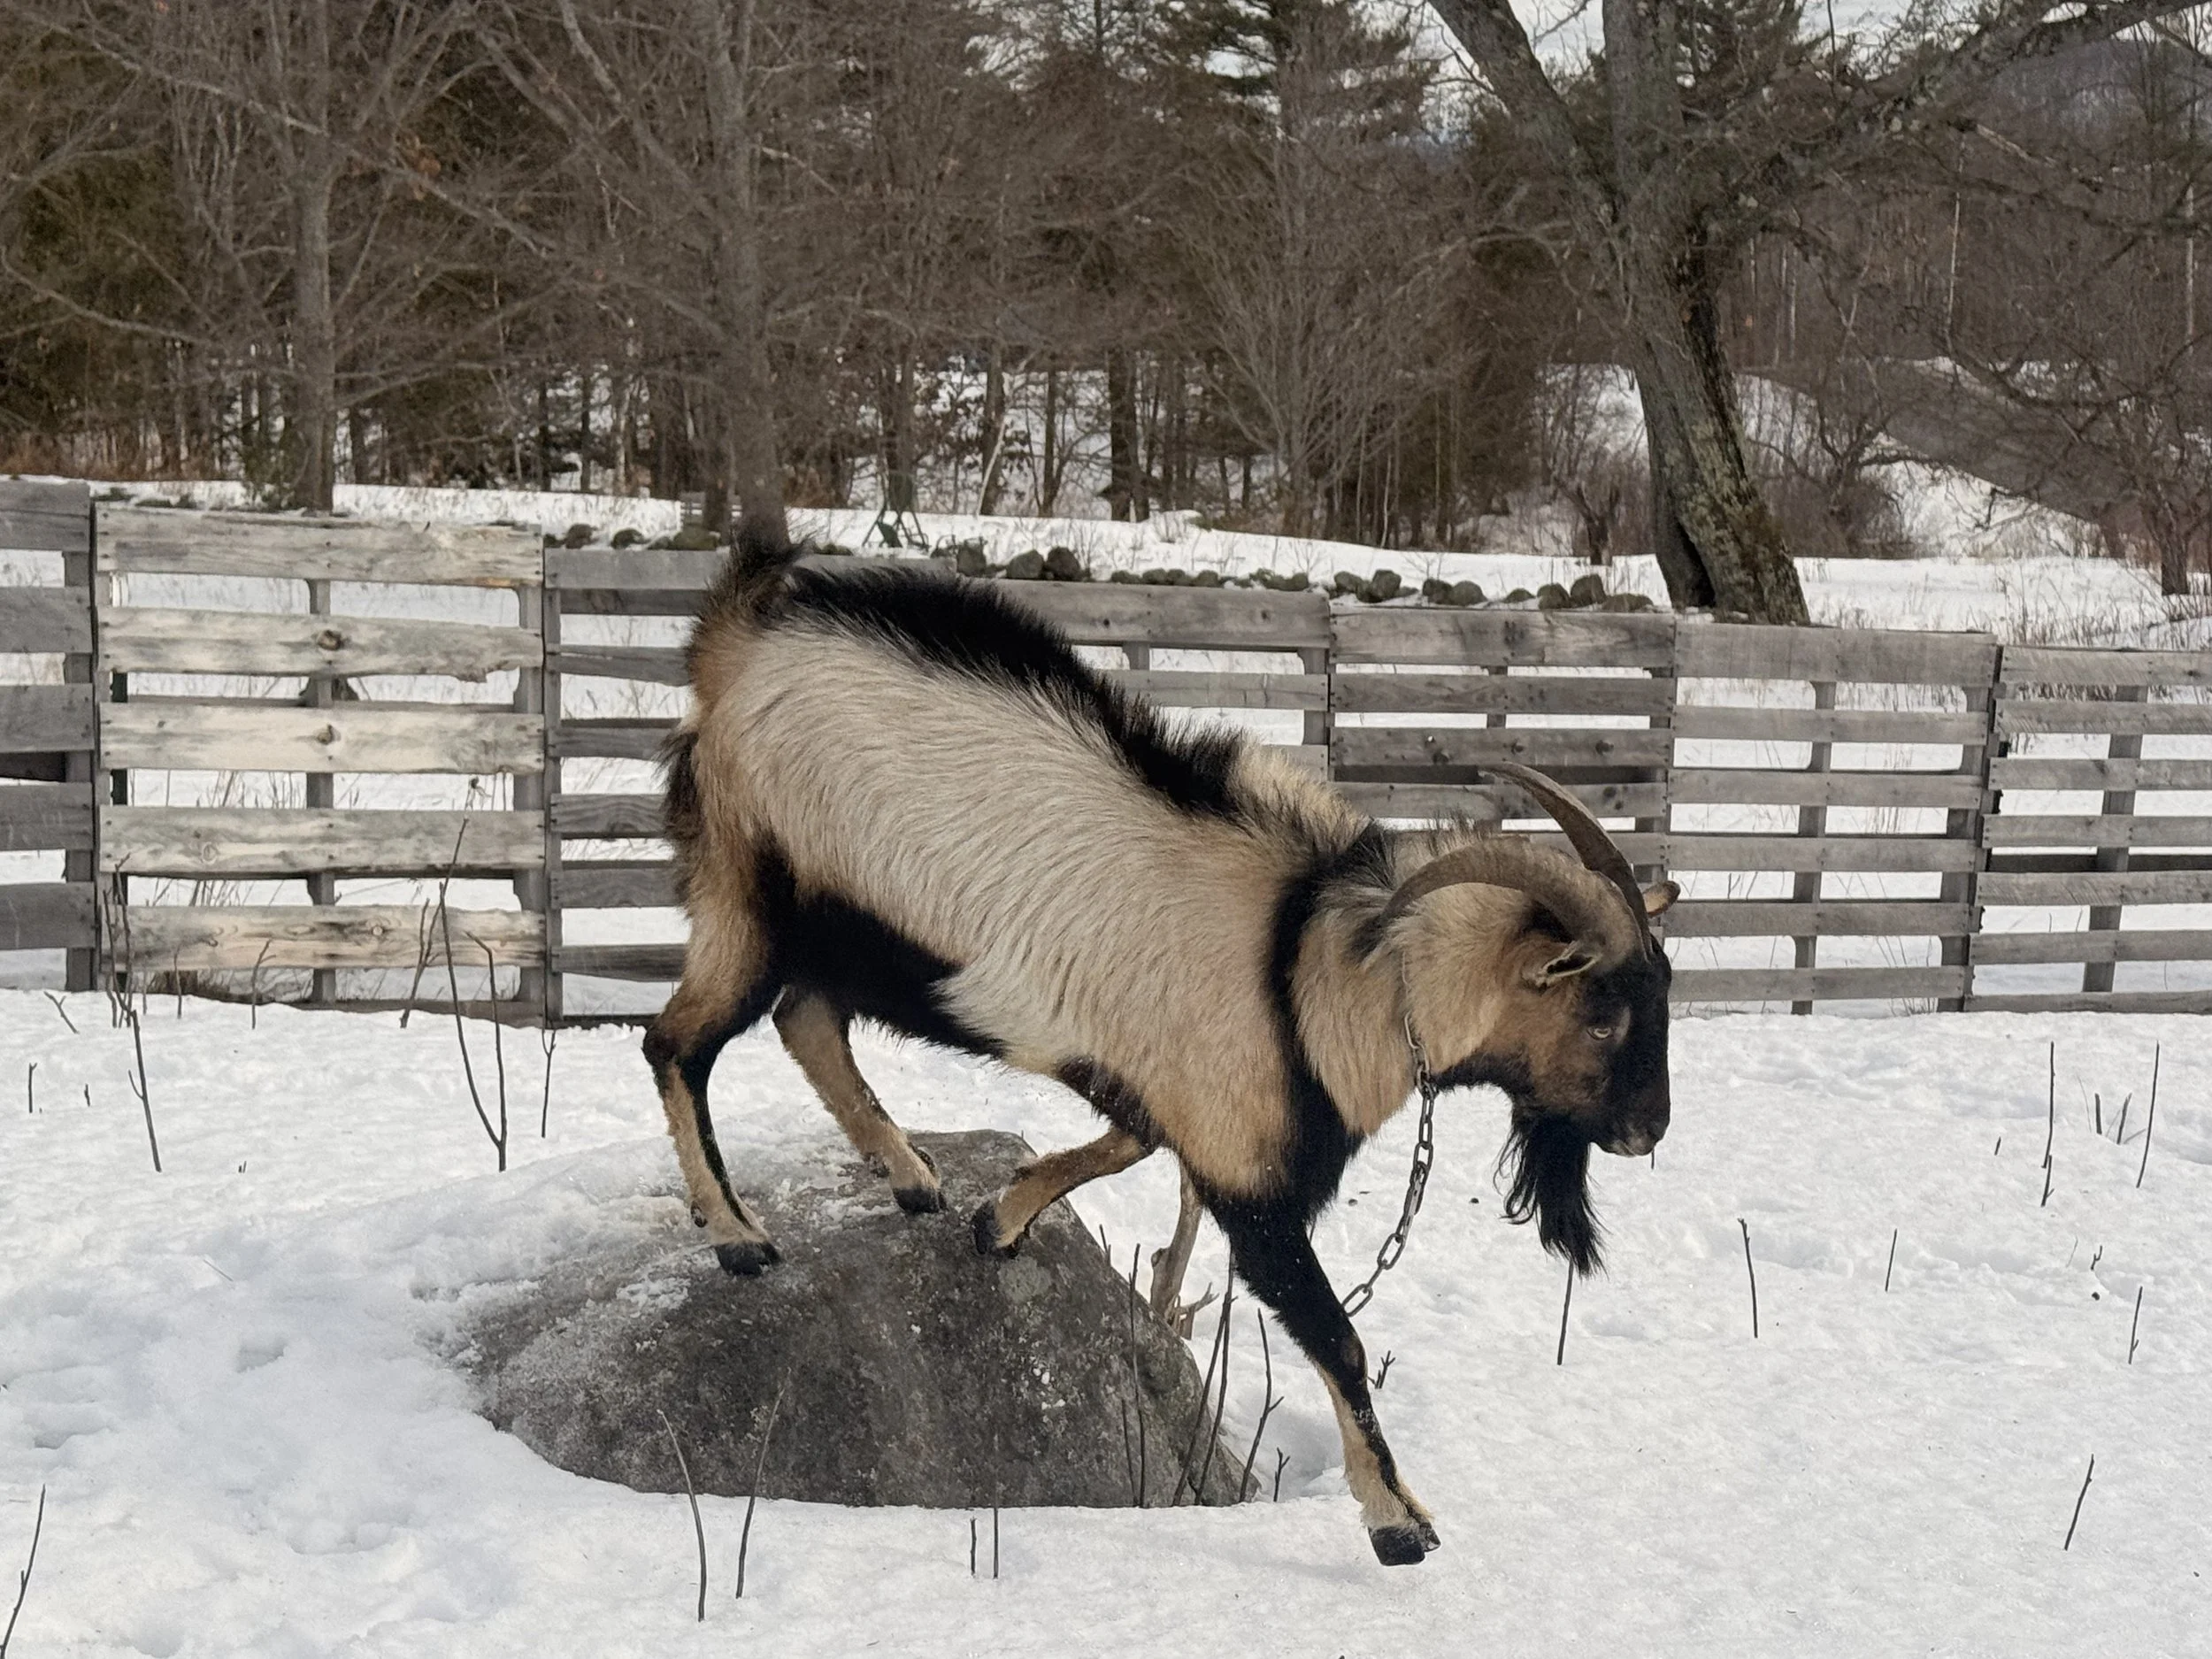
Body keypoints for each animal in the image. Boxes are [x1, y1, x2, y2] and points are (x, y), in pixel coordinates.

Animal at [644, 535, 1678, 1566]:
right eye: (1601, 1015)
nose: (1649, 1130)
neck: (1315, 969)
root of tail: (733, 642)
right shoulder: (1254, 1196)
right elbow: (1336, 1339)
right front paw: (1400, 1523)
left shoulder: (1161, 1086)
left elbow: (1131, 1140)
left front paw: (999, 1219)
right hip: (749, 891)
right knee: (677, 1044)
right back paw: (739, 1235)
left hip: (850, 936)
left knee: (805, 1021)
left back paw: (909, 1175)